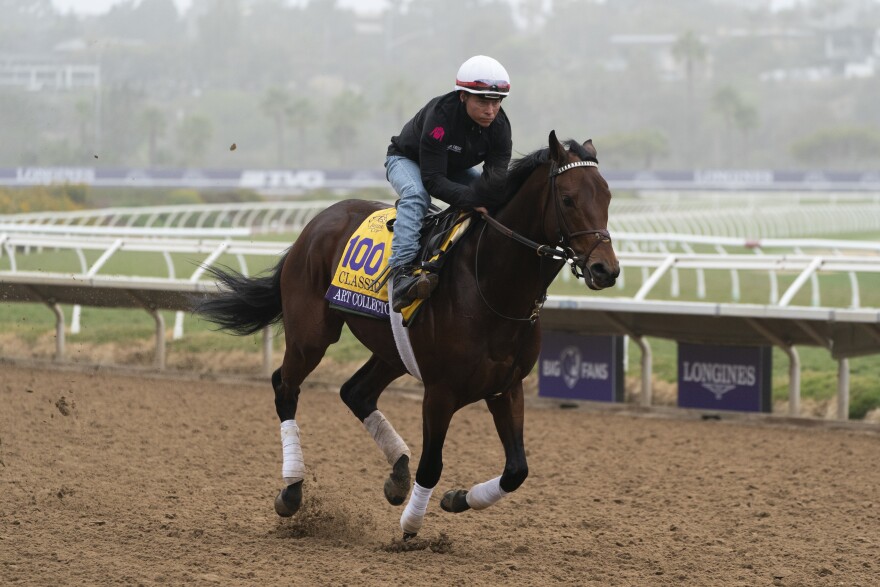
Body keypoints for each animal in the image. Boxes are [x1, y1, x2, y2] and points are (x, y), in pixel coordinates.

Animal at [194, 130, 619, 540]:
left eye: (608, 196)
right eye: (567, 199)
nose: (606, 269)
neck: (491, 287)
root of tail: (316, 223)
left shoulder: (506, 387)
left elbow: (517, 470)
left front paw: (455, 499)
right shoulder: (440, 391)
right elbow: (432, 465)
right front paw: (411, 527)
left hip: (392, 350)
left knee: (355, 392)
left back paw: (397, 473)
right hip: (311, 335)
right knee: (285, 387)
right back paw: (292, 490)